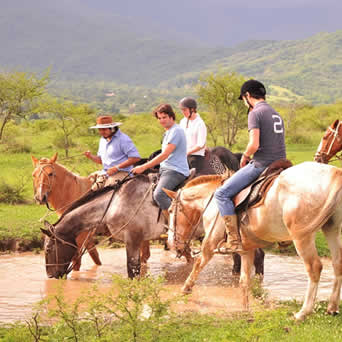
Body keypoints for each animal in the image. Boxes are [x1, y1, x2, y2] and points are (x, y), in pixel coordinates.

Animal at [164, 162, 342, 322]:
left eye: (171, 210)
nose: (171, 242)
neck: (212, 199)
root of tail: (335, 174)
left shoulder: (211, 240)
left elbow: (199, 262)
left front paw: (185, 288)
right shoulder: (246, 249)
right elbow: (244, 281)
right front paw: (245, 309)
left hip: (302, 237)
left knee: (314, 267)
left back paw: (303, 312)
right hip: (331, 229)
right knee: (337, 263)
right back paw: (332, 307)